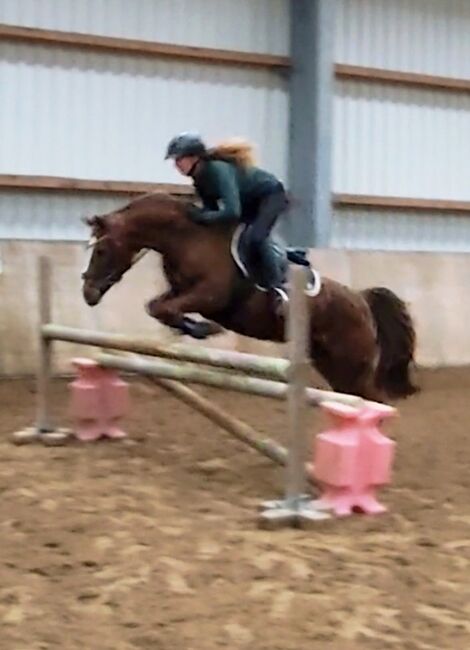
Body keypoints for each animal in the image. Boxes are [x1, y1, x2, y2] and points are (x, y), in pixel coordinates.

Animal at [81, 191, 418, 402]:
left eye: (102, 250)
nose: (88, 293)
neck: (187, 237)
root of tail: (361, 300)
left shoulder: (209, 296)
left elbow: (162, 308)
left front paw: (204, 329)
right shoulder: (181, 292)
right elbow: (156, 306)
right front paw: (193, 329)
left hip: (353, 363)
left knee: (373, 400)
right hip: (333, 364)